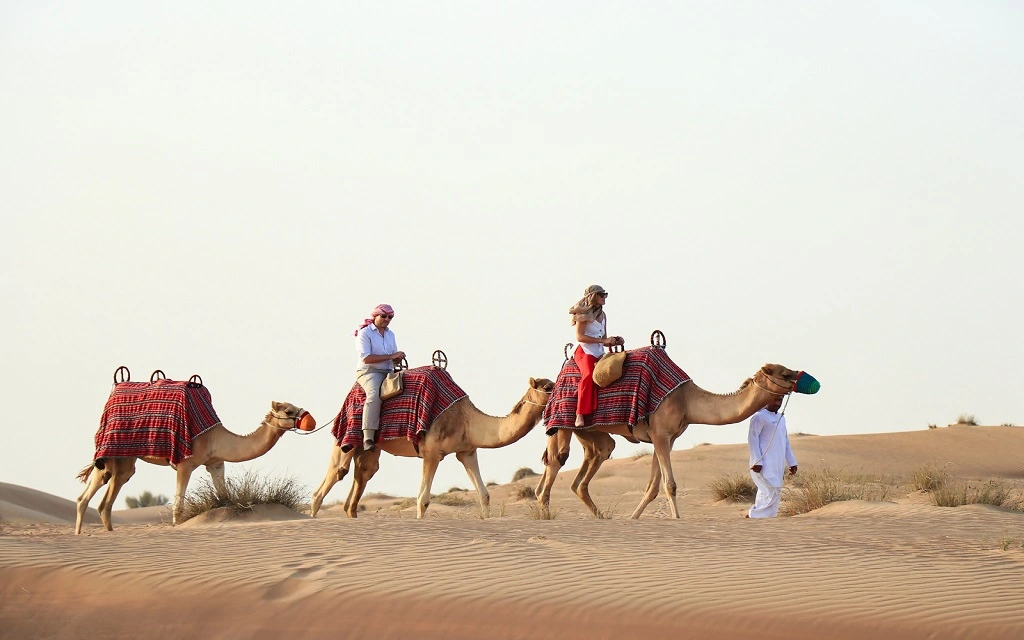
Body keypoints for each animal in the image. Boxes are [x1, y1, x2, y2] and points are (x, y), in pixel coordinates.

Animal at [75, 397, 311, 532]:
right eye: (288, 411)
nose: (310, 419)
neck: (217, 439)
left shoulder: (216, 463)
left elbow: (225, 498)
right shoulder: (185, 464)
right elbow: (178, 506)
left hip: (113, 462)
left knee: (88, 497)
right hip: (120, 458)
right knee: (104, 501)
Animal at [309, 376, 557, 516]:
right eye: (547, 387)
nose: (560, 391)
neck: (467, 419)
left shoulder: (467, 451)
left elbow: (484, 495)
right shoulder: (431, 453)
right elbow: (423, 499)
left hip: (370, 448)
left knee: (361, 479)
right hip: (344, 438)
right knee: (329, 481)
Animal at [536, 362, 806, 516]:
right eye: (785, 373)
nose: (806, 377)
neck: (688, 400)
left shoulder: (665, 437)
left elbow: (653, 487)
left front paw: (633, 519)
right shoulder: (660, 435)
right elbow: (670, 485)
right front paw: (677, 520)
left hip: (590, 432)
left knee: (592, 460)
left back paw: (599, 516)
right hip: (562, 423)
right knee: (557, 460)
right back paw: (545, 514)